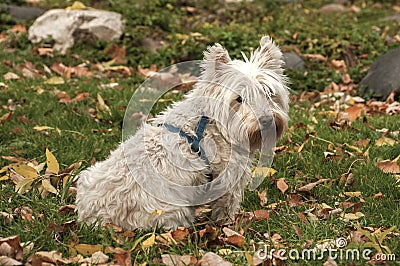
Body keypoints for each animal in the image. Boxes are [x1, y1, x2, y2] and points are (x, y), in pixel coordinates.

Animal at [76, 36, 288, 230]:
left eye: (269, 93)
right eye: (239, 99)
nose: (266, 121)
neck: (213, 123)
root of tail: (93, 218)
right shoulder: (229, 177)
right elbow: (226, 206)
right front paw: (228, 224)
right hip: (172, 210)